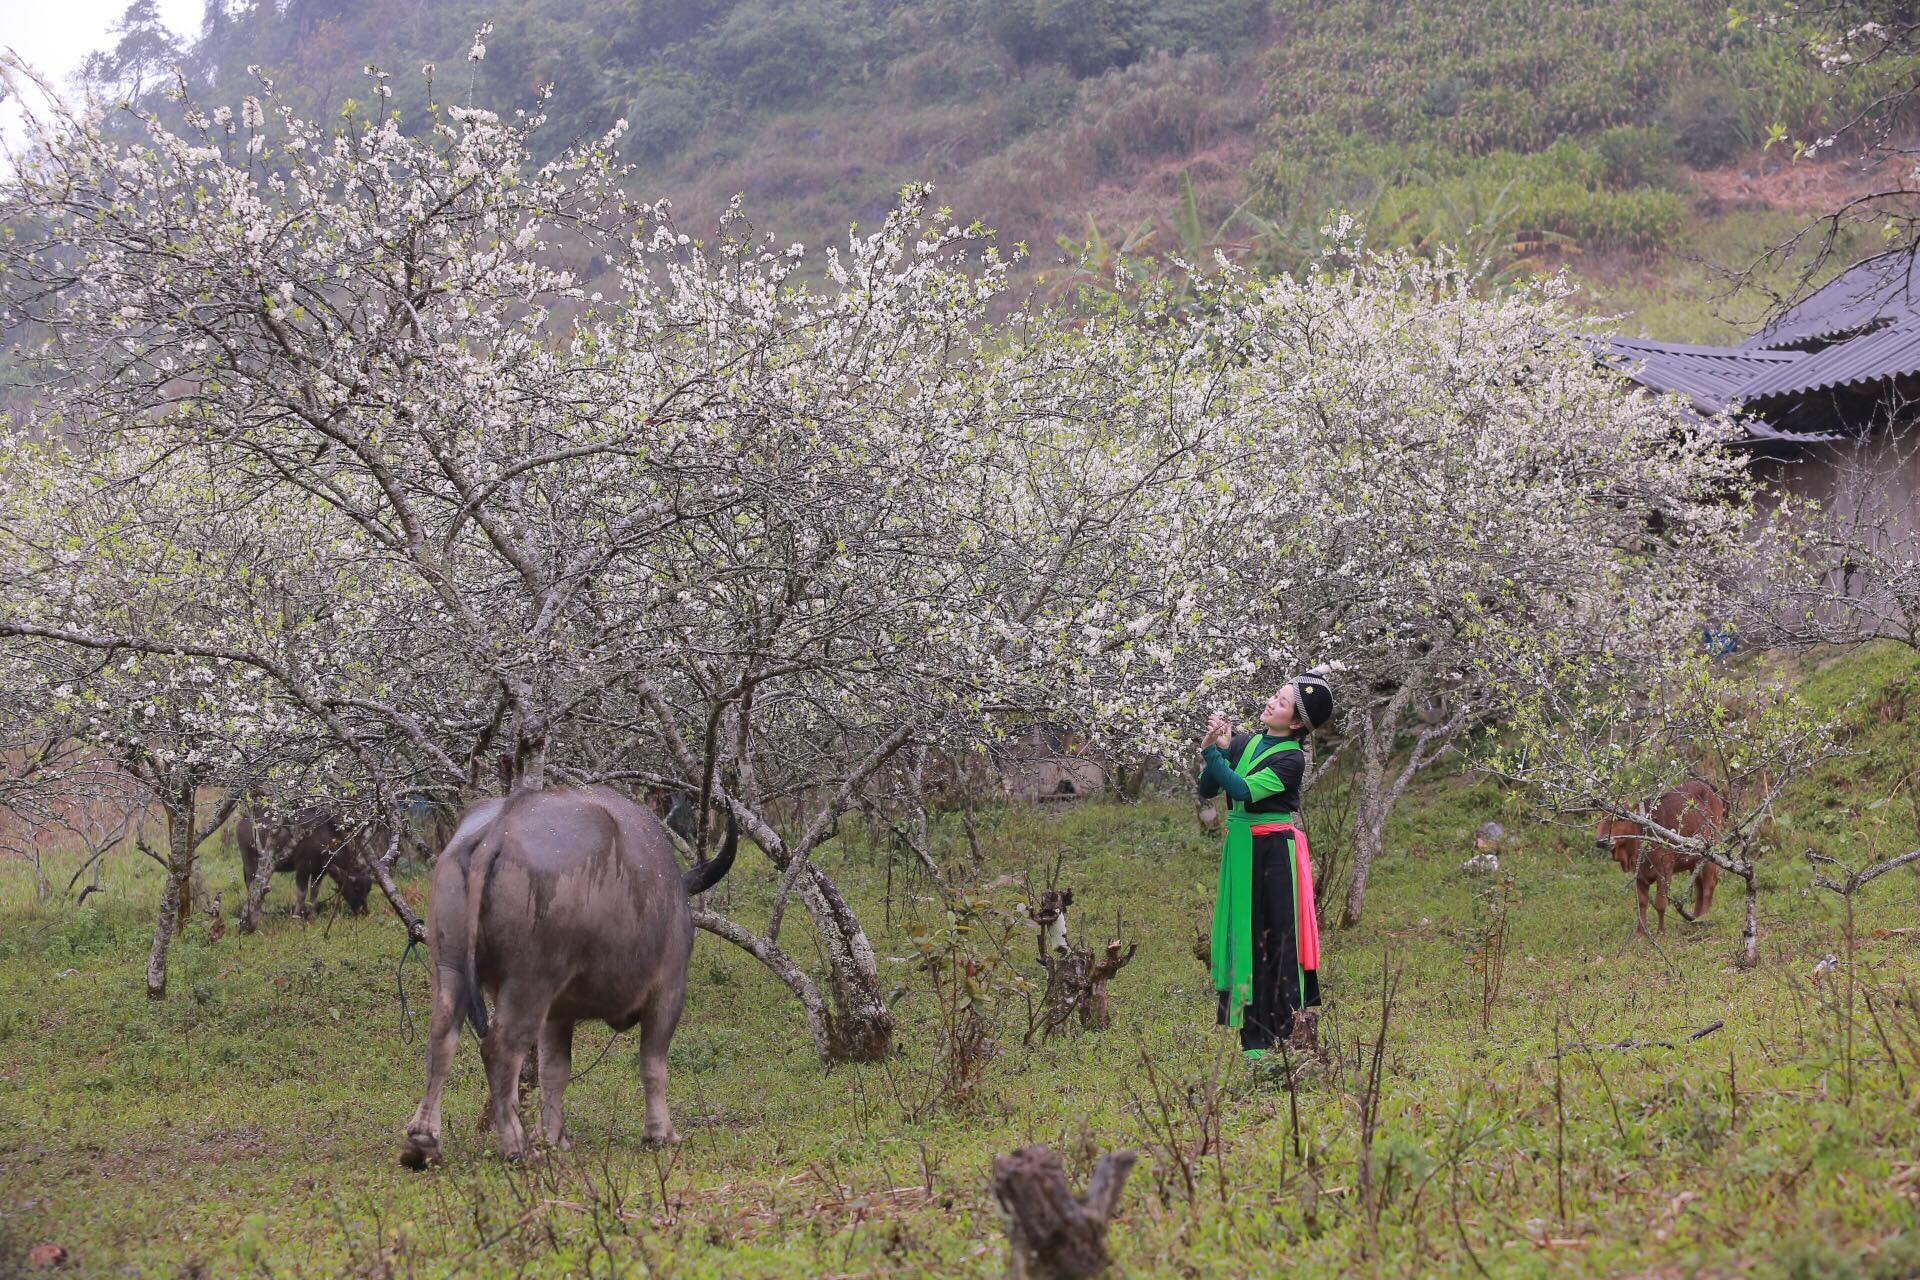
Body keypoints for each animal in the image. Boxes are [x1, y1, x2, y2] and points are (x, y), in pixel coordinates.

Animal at [236, 805, 374, 917]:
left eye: (368, 889)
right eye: (356, 888)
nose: (364, 912)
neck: (324, 838)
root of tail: (242, 823)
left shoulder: (319, 871)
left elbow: (314, 892)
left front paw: (313, 915)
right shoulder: (303, 867)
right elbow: (301, 893)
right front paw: (297, 916)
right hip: (250, 862)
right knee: (252, 885)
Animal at [397, 786, 733, 1166]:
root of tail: (498, 831)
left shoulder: (557, 1014)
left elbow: (554, 1070)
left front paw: (553, 1137)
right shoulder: (669, 991)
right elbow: (653, 1063)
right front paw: (660, 1134)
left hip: (450, 964)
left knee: (441, 1039)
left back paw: (422, 1143)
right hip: (530, 980)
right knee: (500, 1048)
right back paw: (517, 1147)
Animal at [1589, 775, 1728, 936]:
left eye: (1621, 818)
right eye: (1600, 818)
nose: (1601, 841)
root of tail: (1712, 791)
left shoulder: (1664, 871)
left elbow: (1660, 903)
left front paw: (1661, 932)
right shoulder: (1639, 875)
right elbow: (1641, 903)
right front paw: (1640, 934)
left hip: (1709, 854)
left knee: (1709, 885)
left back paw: (1703, 918)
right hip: (1694, 861)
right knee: (1699, 886)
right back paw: (1695, 919)